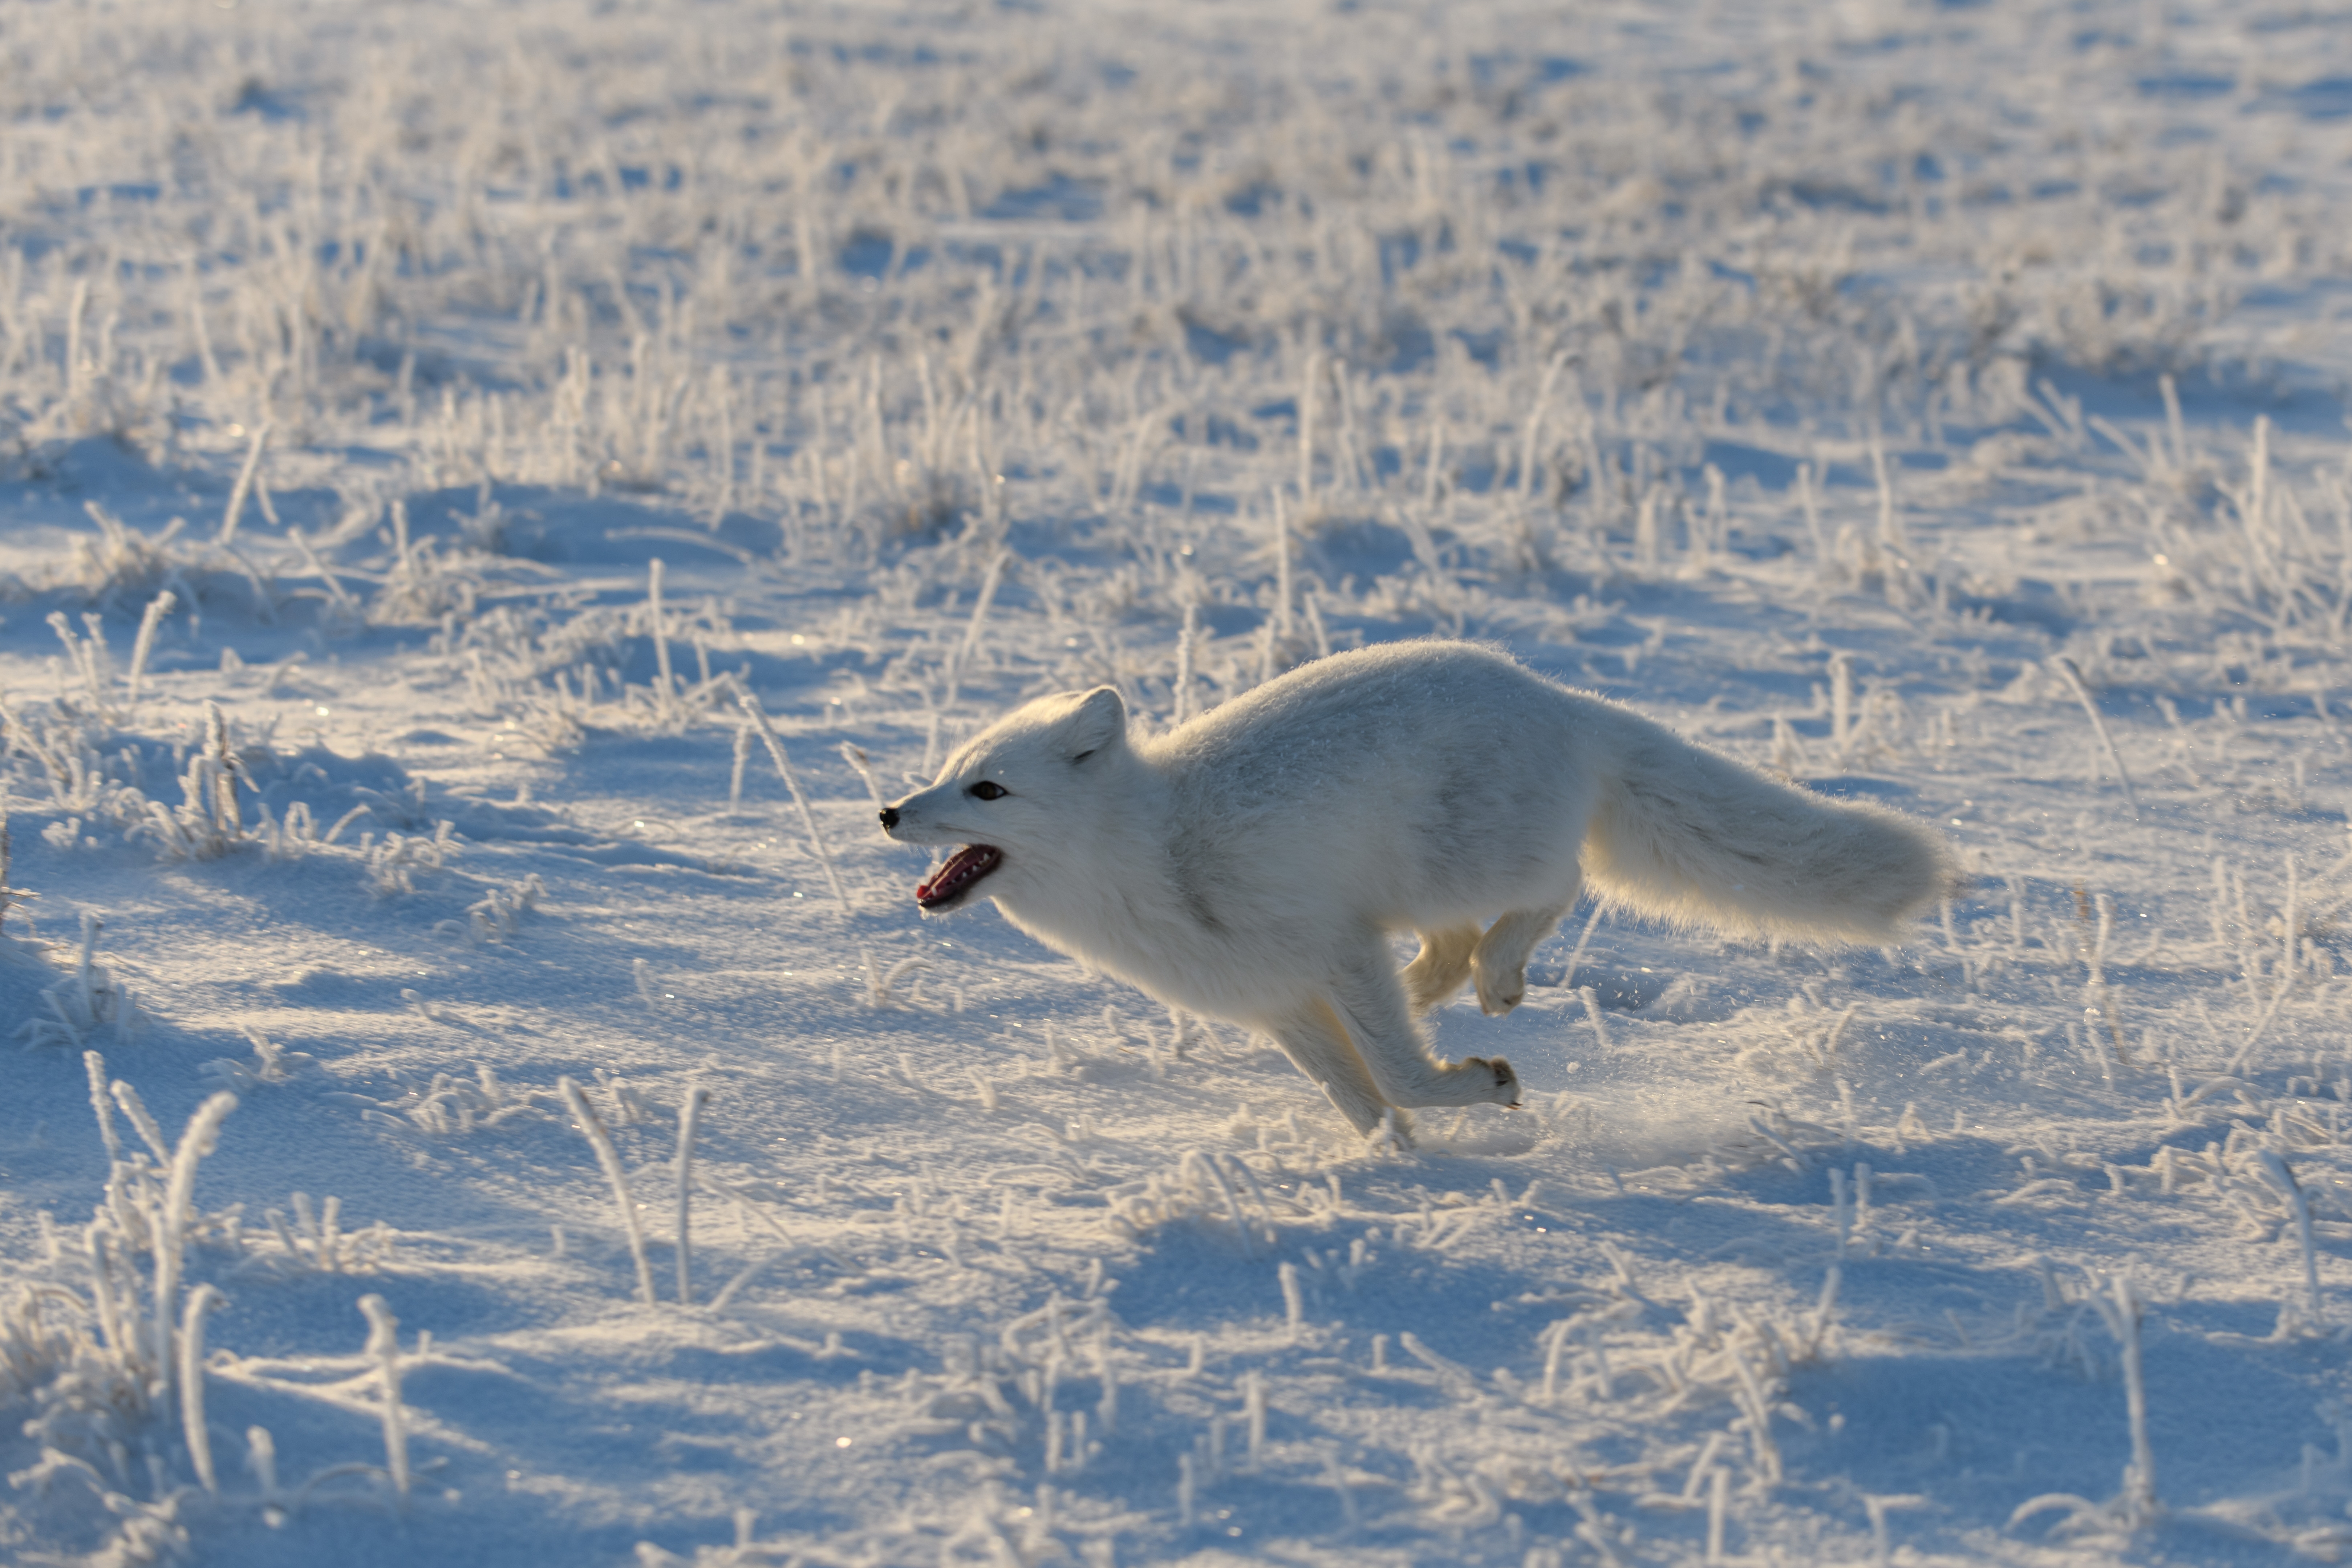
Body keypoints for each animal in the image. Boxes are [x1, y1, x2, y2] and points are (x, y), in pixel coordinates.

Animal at [884, 639, 1947, 1142]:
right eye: (947, 773)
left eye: (988, 791)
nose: (890, 811)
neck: (1153, 853)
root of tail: (1561, 698)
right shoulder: (1282, 1000)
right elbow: (1364, 1101)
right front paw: (1397, 1166)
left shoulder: (1334, 949)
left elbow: (1395, 1076)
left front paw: (1480, 1086)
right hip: (1420, 891)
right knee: (1451, 943)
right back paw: (1443, 987)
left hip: (1464, 865)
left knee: (1556, 883)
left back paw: (1498, 981)